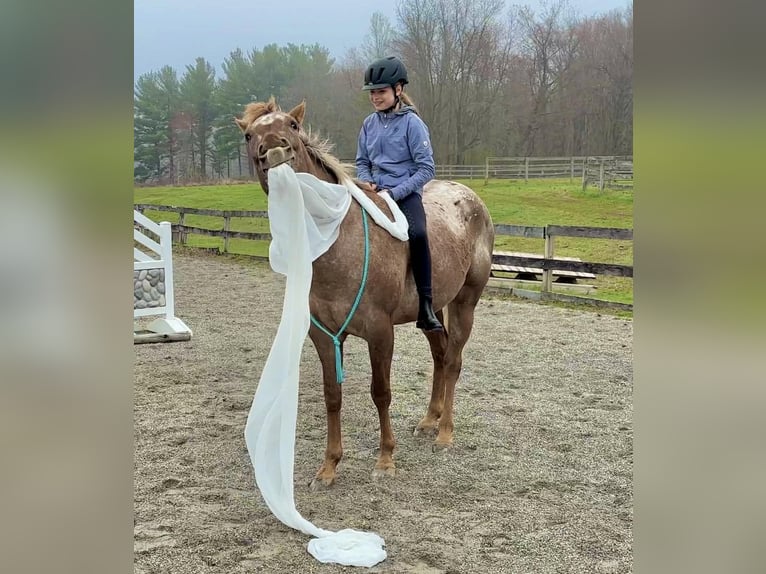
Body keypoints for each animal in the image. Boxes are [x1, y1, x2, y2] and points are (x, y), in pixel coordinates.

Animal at [235, 97, 495, 489]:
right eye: (250, 135)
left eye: (293, 126)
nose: (274, 151)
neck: (338, 239)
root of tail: (470, 198)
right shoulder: (324, 334)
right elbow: (332, 395)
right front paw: (328, 467)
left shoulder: (380, 331)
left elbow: (381, 392)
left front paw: (386, 459)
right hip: (431, 312)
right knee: (440, 354)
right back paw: (429, 420)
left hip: (465, 302)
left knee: (452, 361)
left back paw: (445, 433)